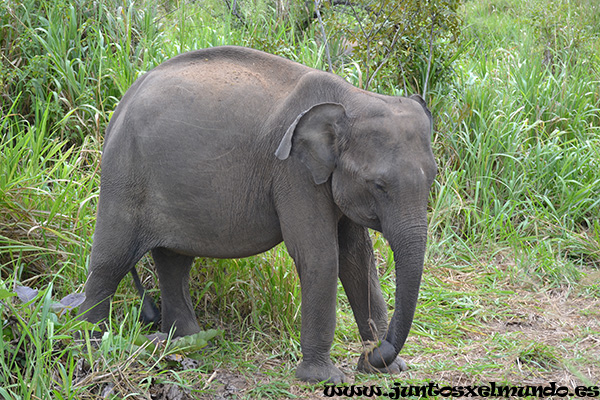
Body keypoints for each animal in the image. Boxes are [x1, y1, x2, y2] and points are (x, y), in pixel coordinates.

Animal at [78, 45, 436, 382]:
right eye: (378, 185)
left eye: (433, 177)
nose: (377, 351)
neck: (353, 98)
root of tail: (122, 103)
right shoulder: (292, 171)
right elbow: (319, 256)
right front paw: (323, 377)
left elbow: (358, 258)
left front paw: (386, 369)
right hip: (124, 174)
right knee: (111, 260)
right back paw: (92, 347)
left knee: (174, 261)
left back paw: (189, 343)